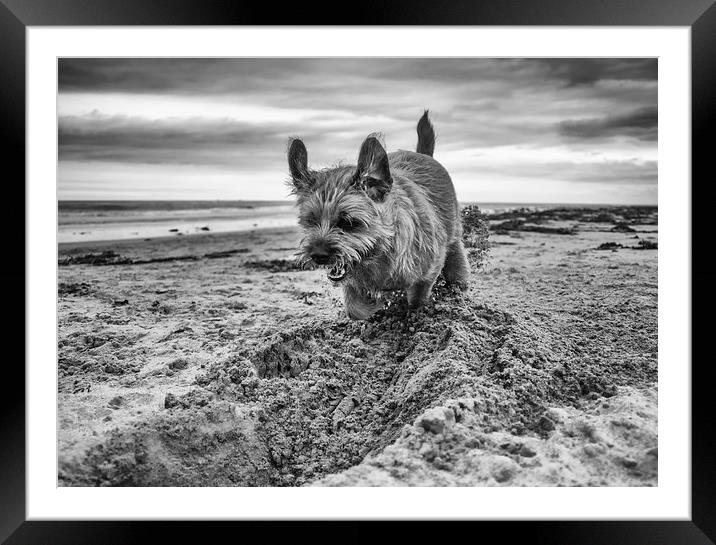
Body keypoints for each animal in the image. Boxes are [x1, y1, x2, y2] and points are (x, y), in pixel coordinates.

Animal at [286, 112, 470, 320]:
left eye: (349, 222)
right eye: (311, 221)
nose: (318, 255)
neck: (381, 252)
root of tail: (423, 154)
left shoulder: (430, 269)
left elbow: (417, 297)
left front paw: (411, 311)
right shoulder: (352, 281)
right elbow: (355, 309)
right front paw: (375, 304)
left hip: (453, 234)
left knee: (456, 260)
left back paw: (457, 288)